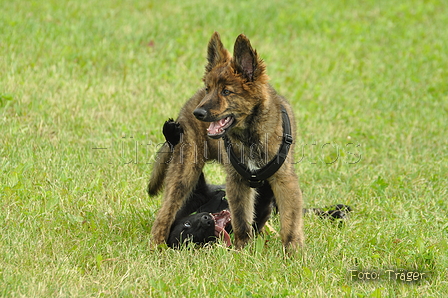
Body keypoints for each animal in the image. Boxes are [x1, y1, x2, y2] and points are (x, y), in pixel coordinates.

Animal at [149, 32, 302, 249]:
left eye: (226, 91)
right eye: (209, 89)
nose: (198, 113)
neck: (249, 136)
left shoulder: (284, 180)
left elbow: (290, 223)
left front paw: (292, 253)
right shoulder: (236, 183)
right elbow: (241, 221)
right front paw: (242, 250)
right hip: (185, 171)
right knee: (166, 212)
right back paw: (157, 245)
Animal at [159, 120, 352, 248]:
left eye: (186, 224)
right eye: (193, 239)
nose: (206, 221)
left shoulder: (197, 194)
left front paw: (172, 135)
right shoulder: (257, 219)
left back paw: (338, 210)